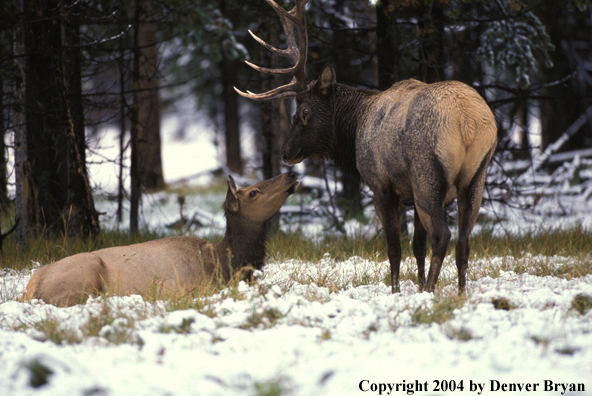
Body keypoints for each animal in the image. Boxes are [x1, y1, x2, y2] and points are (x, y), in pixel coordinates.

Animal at [21, 171, 300, 306]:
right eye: (253, 192)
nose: (291, 174)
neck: (226, 265)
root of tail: (31, 288)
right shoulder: (175, 288)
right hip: (84, 275)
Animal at [234, 0, 498, 294]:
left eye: (304, 111)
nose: (285, 151)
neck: (355, 129)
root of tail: (468, 123)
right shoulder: (410, 194)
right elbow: (417, 246)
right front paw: (416, 287)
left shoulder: (381, 185)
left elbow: (394, 248)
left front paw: (397, 291)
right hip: (476, 177)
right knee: (463, 241)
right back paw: (460, 294)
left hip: (427, 174)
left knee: (443, 235)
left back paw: (431, 291)